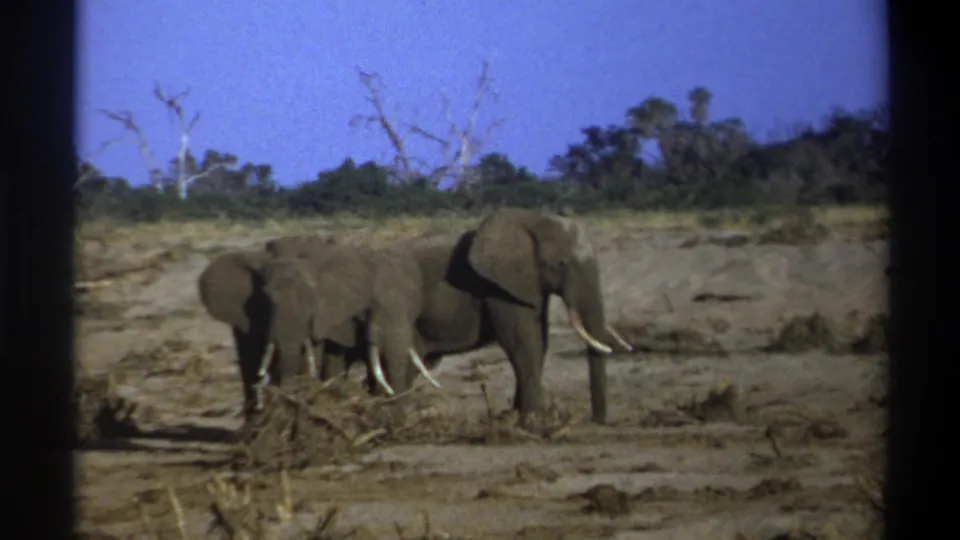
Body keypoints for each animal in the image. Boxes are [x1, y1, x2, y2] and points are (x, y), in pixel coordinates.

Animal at [370, 208, 633, 425]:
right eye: (561, 263)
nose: (597, 422)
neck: (532, 220)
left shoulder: (528, 284)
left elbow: (540, 341)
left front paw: (514, 416)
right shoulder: (498, 288)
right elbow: (523, 343)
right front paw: (531, 420)